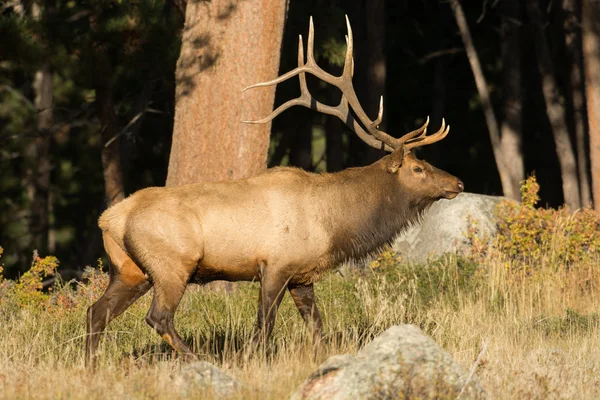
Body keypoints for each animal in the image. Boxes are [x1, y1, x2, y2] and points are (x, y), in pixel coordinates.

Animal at [84, 16, 464, 366]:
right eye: (417, 168)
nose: (457, 183)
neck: (332, 224)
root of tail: (110, 219)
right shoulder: (275, 264)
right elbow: (264, 325)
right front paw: (252, 360)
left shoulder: (301, 276)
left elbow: (316, 325)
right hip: (171, 264)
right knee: (158, 317)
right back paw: (200, 359)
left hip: (130, 270)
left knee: (96, 311)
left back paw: (91, 366)